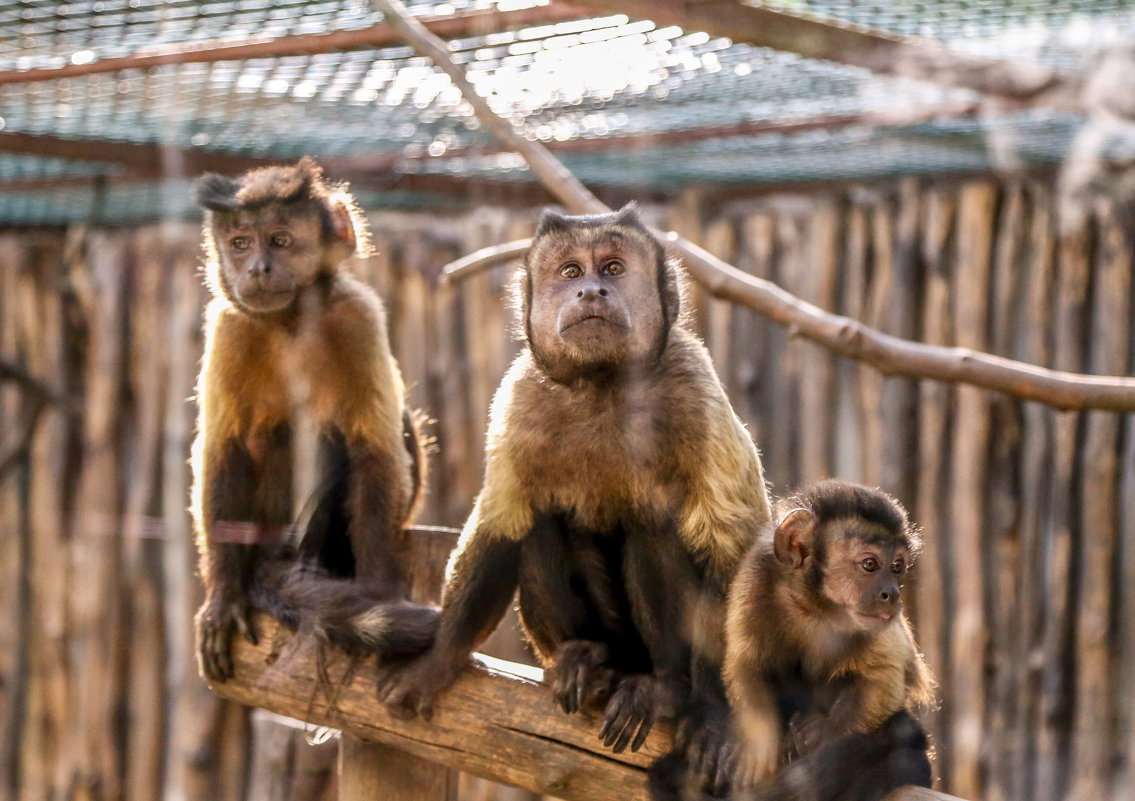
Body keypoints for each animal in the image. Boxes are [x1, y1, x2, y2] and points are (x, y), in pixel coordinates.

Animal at [188, 156, 435, 680]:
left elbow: (375, 452)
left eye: (280, 240)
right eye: (240, 243)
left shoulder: (357, 316)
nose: (257, 268)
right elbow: (224, 452)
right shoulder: (229, 326)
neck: (291, 321)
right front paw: (223, 597)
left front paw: (380, 596)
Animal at [372, 200, 771, 785]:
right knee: (539, 522)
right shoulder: (518, 399)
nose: (591, 292)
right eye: (569, 272)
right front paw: (438, 661)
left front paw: (719, 719)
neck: (602, 384)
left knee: (655, 527)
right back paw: (585, 659)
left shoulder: (695, 390)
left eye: (613, 269)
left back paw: (667, 688)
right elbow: (501, 527)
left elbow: (732, 554)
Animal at [721, 481, 935, 798]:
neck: (815, 604)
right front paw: (758, 747)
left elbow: (882, 679)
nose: (892, 593)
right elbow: (746, 663)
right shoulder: (755, 577)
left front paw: (821, 735)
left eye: (897, 567)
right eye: (870, 564)